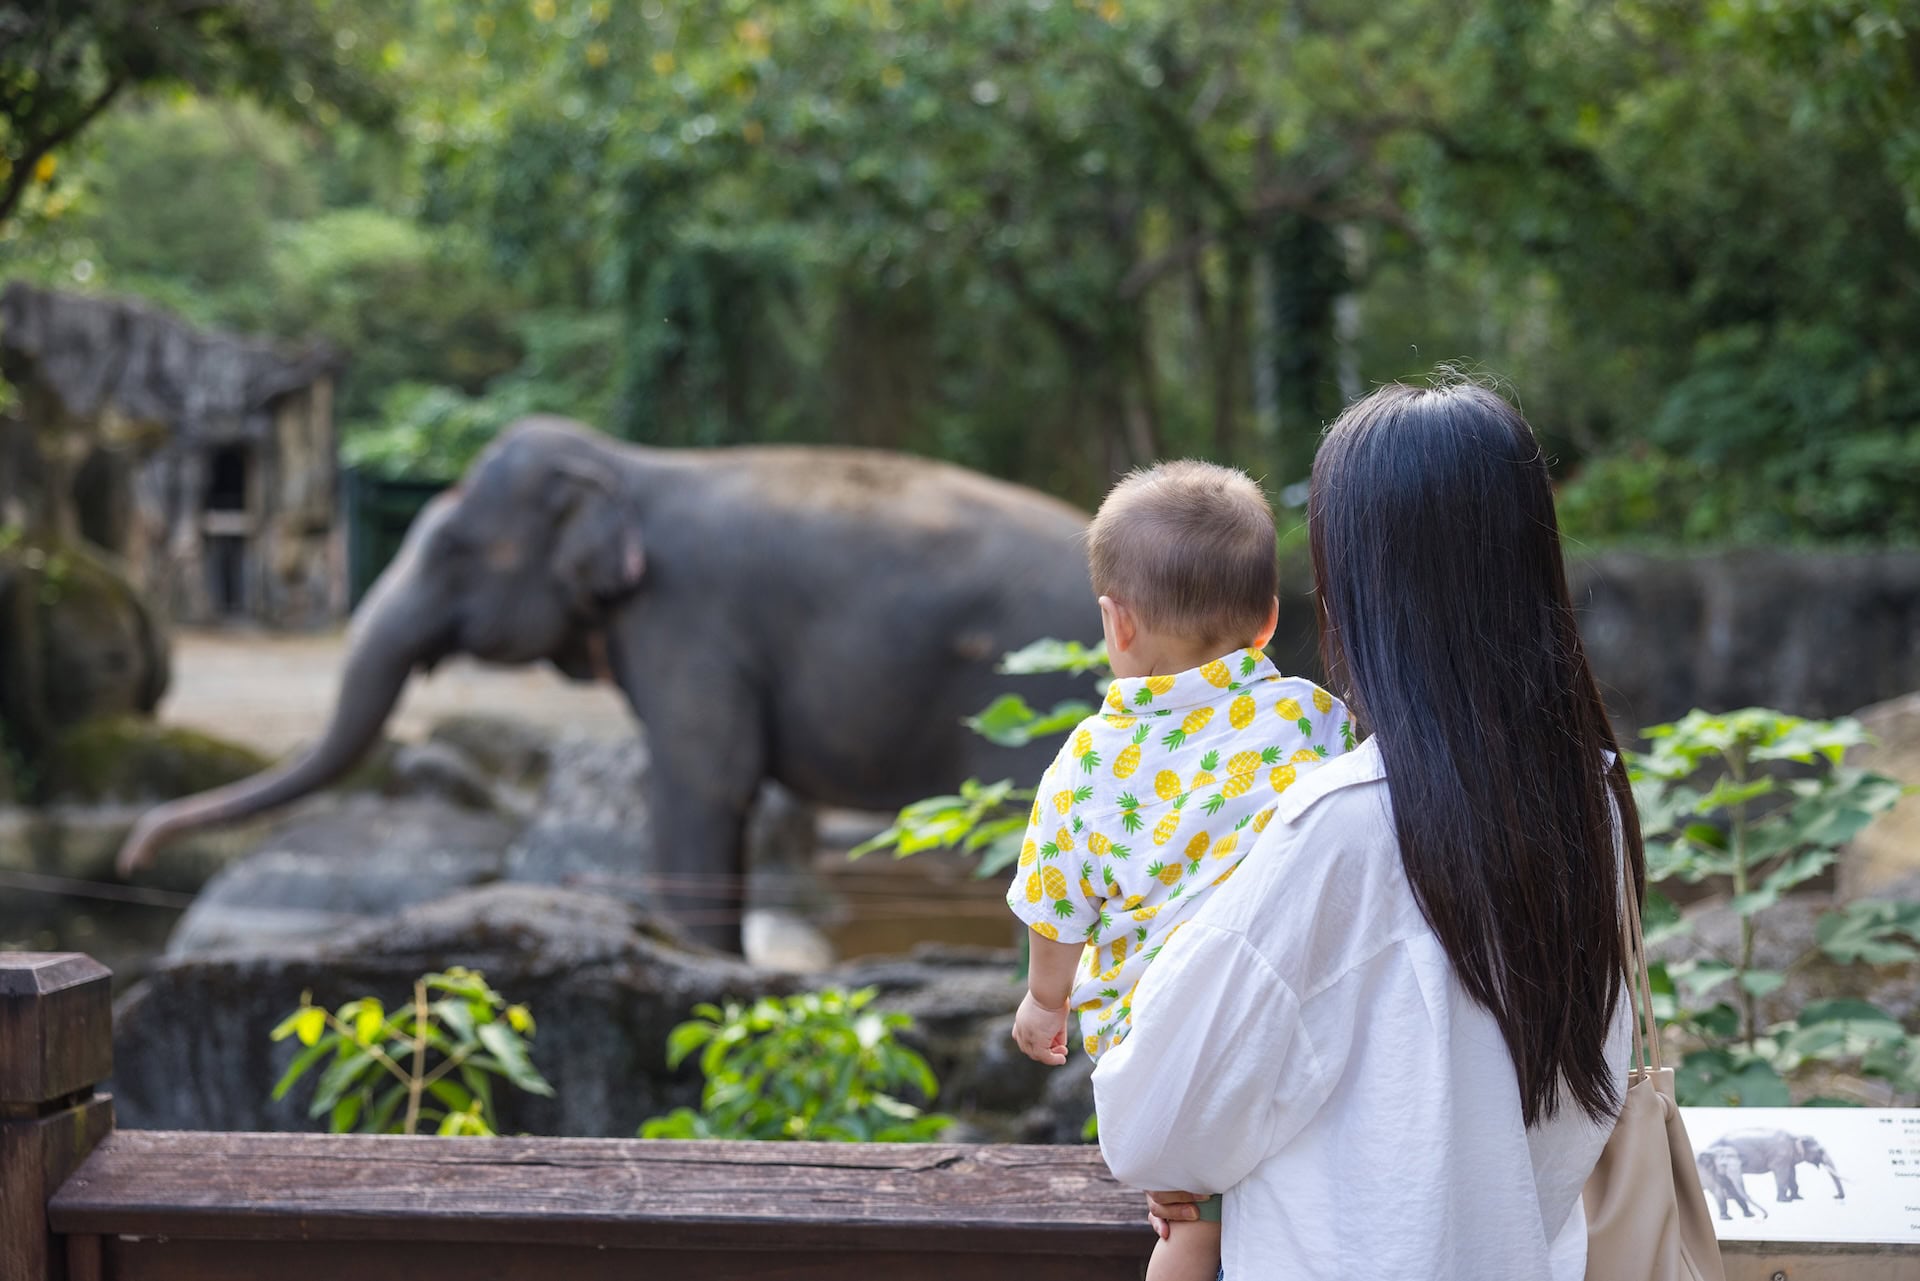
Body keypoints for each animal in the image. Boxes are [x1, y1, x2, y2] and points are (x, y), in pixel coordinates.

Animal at [118, 416, 1101, 951]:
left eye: (455, 549)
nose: (135, 852)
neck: (627, 463)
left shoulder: (688, 620)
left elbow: (704, 783)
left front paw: (703, 962)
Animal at [1716, 1128, 1845, 1204]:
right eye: (1820, 1151)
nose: (1836, 1196)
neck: (1796, 1135)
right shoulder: (1780, 1157)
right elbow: (1782, 1174)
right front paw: (1785, 1201)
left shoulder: (1789, 1159)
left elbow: (1792, 1174)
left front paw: (1798, 1198)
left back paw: (1732, 1198)